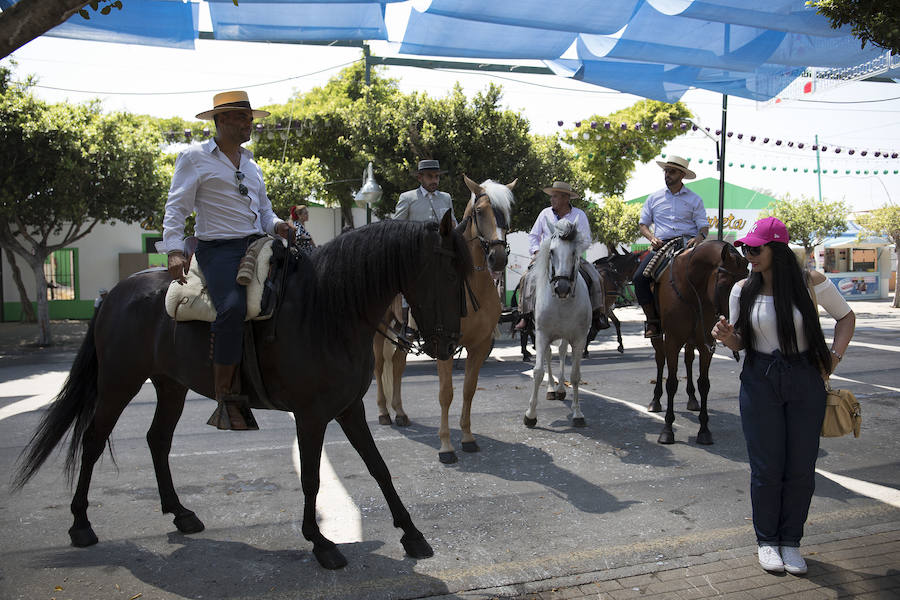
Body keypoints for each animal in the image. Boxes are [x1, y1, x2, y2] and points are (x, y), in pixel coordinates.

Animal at [12, 213, 472, 568]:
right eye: (451, 273)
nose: (450, 346)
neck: (327, 310)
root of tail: (114, 293)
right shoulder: (310, 415)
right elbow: (311, 478)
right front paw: (321, 543)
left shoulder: (348, 408)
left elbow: (379, 468)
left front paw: (412, 534)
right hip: (118, 382)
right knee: (93, 440)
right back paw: (80, 524)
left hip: (170, 386)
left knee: (157, 440)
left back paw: (180, 513)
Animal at [370, 173, 512, 464]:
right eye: (480, 211)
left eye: (507, 212)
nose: (498, 258)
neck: (471, 287)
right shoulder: (444, 344)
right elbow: (446, 393)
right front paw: (446, 447)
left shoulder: (479, 346)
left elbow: (469, 389)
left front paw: (467, 438)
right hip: (381, 327)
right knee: (379, 367)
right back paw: (384, 413)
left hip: (401, 330)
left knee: (398, 365)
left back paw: (400, 412)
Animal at [524, 218, 596, 428]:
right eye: (552, 251)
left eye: (574, 252)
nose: (562, 287)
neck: (562, 303)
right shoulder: (541, 335)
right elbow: (538, 372)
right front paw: (530, 415)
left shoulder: (579, 339)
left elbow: (575, 375)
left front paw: (577, 414)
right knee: (549, 356)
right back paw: (551, 389)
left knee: (562, 352)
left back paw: (561, 389)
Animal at [648, 240, 744, 446]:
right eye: (723, 285)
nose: (735, 325)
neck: (692, 290)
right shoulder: (673, 341)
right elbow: (672, 383)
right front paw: (667, 430)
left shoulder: (706, 343)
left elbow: (704, 384)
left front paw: (704, 430)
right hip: (658, 336)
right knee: (660, 361)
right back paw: (655, 401)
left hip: (692, 339)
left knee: (689, 359)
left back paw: (692, 399)